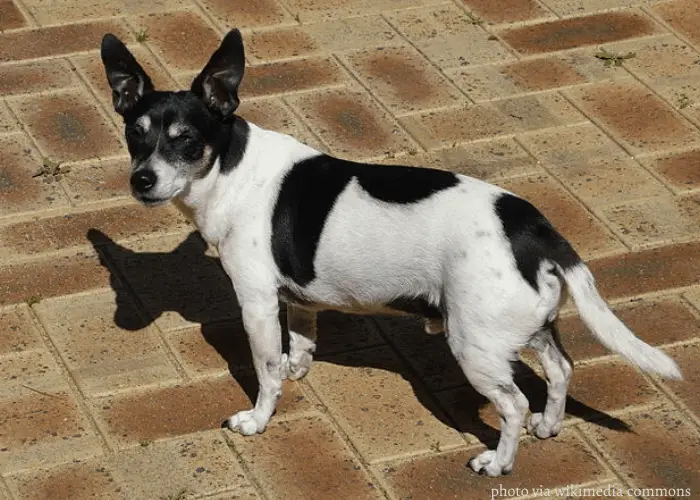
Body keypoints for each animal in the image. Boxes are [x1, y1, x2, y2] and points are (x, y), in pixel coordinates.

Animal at [101, 28, 680, 476]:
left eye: (185, 139)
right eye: (135, 134)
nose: (141, 180)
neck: (229, 166)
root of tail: (534, 229)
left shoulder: (258, 304)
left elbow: (264, 372)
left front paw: (258, 419)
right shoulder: (299, 300)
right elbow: (300, 346)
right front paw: (296, 369)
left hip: (474, 344)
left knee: (513, 403)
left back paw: (498, 461)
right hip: (525, 327)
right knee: (561, 371)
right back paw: (550, 426)